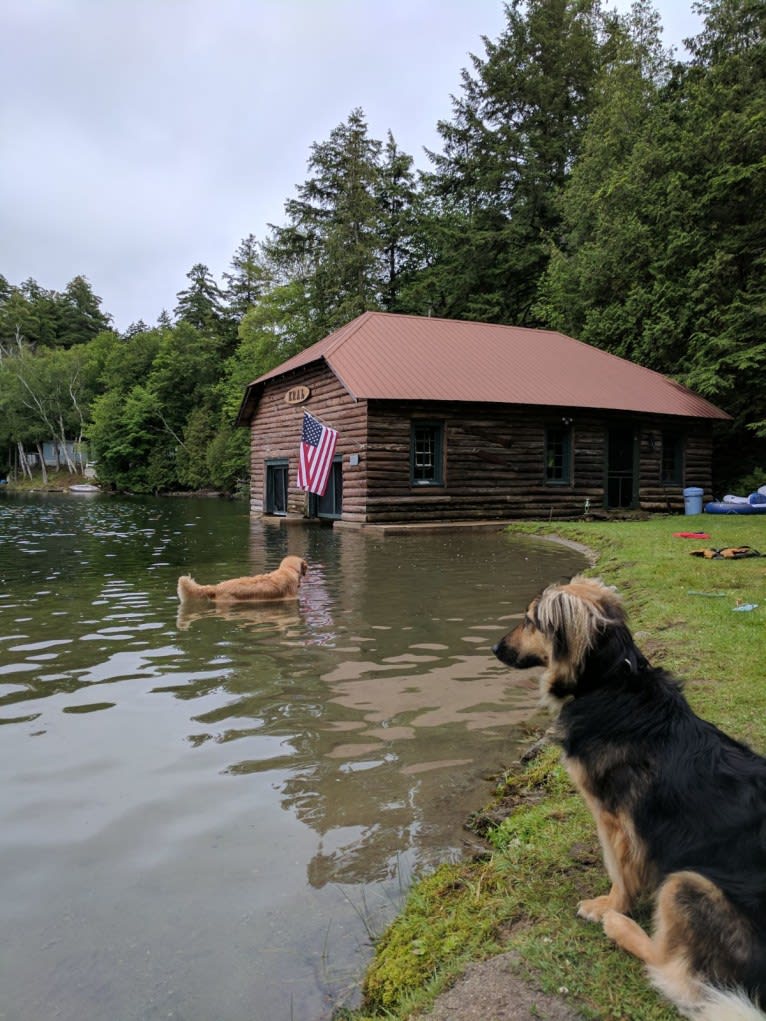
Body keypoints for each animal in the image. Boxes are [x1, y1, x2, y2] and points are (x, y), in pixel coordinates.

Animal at [494, 579, 763, 1016]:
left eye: (530, 620)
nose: (494, 648)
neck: (609, 682)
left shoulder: (611, 815)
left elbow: (618, 867)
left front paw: (608, 905)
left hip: (687, 883)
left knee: (677, 976)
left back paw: (620, 926)